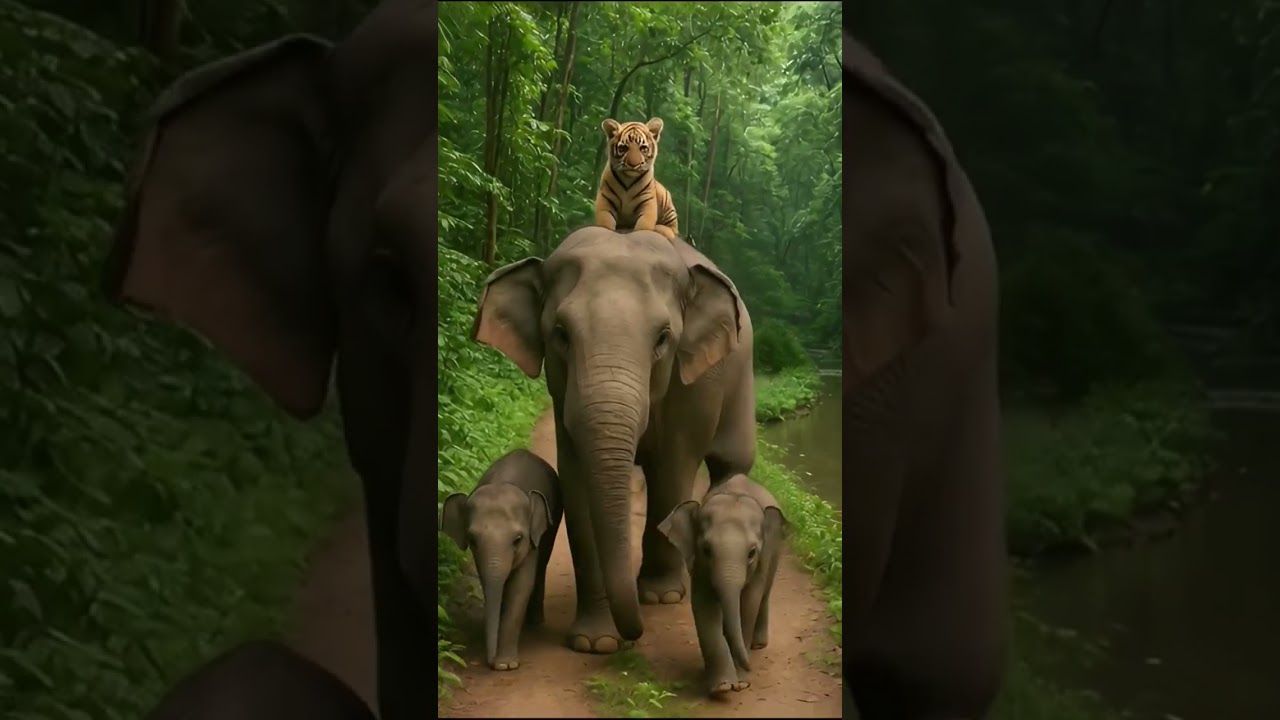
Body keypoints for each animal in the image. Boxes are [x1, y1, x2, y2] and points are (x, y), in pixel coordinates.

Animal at [439, 448, 562, 671]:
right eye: (472, 540)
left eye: (517, 540)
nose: (489, 661)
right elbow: (489, 581)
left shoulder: (530, 540)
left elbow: (521, 586)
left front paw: (505, 665)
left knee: (542, 563)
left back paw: (535, 621)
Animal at [471, 227, 757, 653]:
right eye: (561, 334)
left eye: (663, 338)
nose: (634, 636)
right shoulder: (563, 400)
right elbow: (577, 488)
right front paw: (596, 642)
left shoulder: (693, 388)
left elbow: (671, 473)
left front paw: (660, 596)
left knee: (731, 464)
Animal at [657, 473, 786, 696]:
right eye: (707, 550)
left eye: (752, 553)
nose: (749, 667)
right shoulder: (698, 564)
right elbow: (704, 605)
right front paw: (723, 686)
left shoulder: (762, 560)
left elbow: (749, 603)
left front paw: (741, 683)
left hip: (775, 553)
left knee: (765, 595)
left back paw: (758, 645)